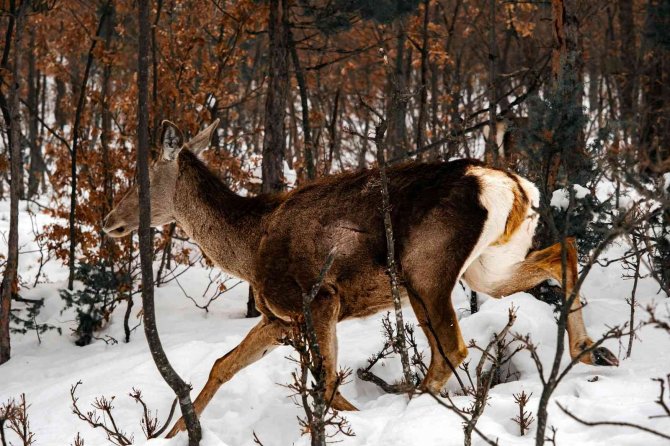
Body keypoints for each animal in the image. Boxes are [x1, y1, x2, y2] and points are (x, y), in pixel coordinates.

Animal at [102, 120, 624, 438]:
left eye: (141, 180)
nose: (109, 220)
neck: (248, 247)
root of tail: (511, 184)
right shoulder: (277, 318)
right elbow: (222, 365)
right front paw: (174, 434)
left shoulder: (317, 299)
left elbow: (328, 382)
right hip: (487, 267)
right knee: (564, 249)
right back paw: (591, 349)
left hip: (424, 269)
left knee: (450, 349)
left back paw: (411, 412)